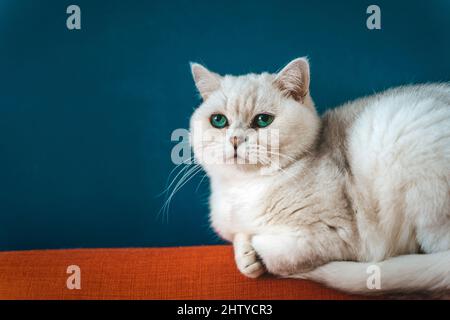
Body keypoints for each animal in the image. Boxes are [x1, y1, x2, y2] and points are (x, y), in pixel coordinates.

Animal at [187, 56, 450, 296]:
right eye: (218, 120)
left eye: (263, 120)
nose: (235, 139)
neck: (245, 188)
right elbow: (238, 237)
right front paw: (246, 257)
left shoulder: (338, 234)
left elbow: (280, 254)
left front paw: (258, 253)